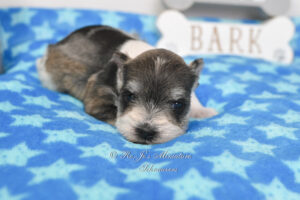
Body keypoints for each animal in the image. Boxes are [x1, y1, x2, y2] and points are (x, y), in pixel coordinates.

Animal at [36, 25, 217, 144]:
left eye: (178, 104)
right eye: (129, 96)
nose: (146, 132)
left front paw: (203, 111)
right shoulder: (98, 96)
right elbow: (115, 114)